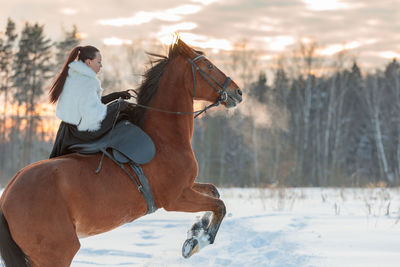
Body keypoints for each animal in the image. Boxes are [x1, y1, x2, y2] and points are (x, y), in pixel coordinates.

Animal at [0, 38, 241, 267]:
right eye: (208, 66)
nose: (237, 92)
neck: (164, 139)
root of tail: (6, 196)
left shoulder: (188, 187)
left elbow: (214, 192)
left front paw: (197, 228)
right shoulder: (177, 198)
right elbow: (220, 206)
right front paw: (196, 241)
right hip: (57, 253)